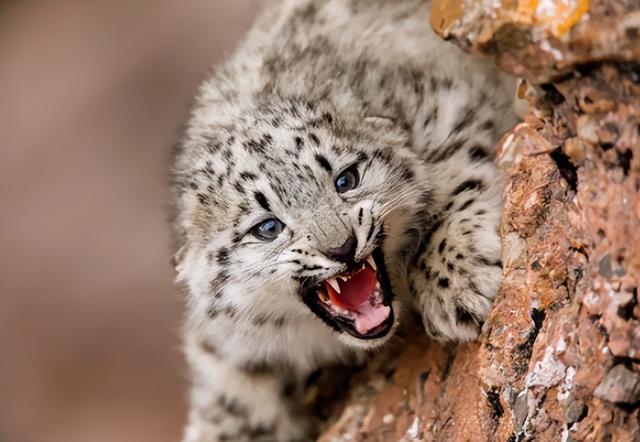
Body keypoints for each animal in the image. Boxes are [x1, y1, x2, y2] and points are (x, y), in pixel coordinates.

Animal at [170, 1, 516, 440]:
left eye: (346, 179)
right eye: (267, 228)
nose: (342, 247)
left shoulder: (449, 110)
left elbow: (456, 170)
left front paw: (457, 288)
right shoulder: (233, 353)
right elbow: (231, 402)